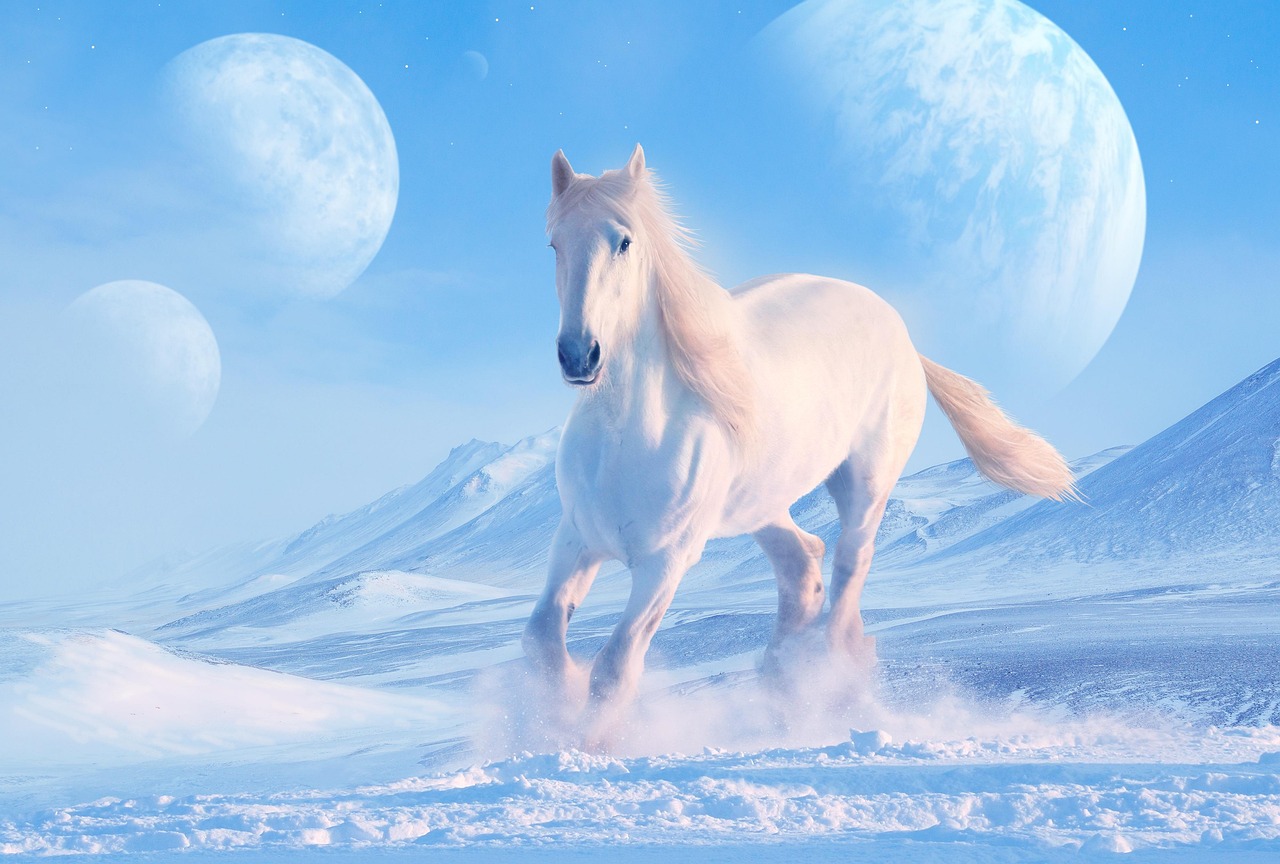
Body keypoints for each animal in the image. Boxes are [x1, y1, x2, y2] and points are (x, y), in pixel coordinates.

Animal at [522, 144, 1077, 744]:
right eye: (554, 244)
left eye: (624, 242)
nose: (580, 355)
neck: (627, 437)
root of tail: (902, 332)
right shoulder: (576, 539)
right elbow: (542, 642)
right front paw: (547, 719)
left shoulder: (666, 562)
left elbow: (616, 666)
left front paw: (588, 745)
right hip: (760, 501)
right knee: (804, 564)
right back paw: (781, 683)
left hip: (864, 484)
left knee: (848, 566)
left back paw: (826, 686)